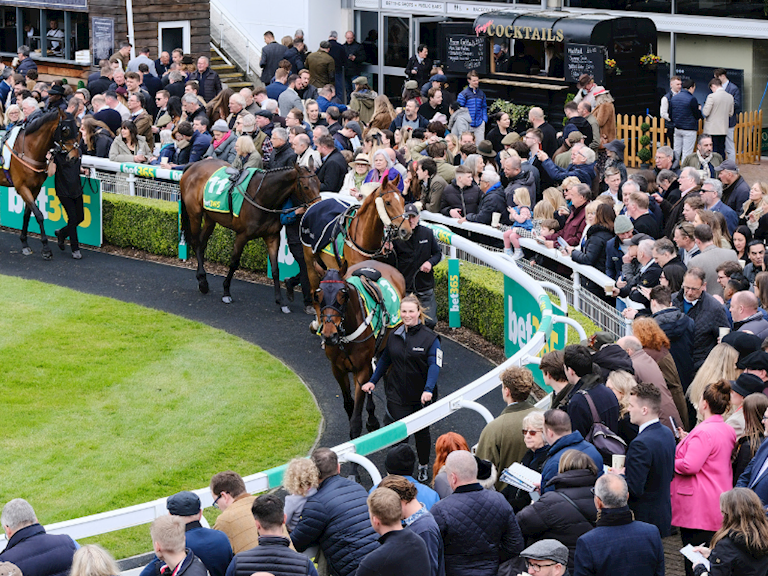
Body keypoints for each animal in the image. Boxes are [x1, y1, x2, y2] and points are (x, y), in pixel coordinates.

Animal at [0, 108, 80, 259]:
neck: (28, 150)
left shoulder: (35, 188)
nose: (74, 158)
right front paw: (46, 248)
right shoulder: (22, 187)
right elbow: (39, 215)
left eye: (78, 129)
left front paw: (24, 244)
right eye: (65, 130)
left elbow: (27, 214)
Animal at [179, 160, 320, 309]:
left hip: (211, 218)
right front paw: (226, 292)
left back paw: (203, 281)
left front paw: (280, 300)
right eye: (305, 186)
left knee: (202, 244)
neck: (262, 197)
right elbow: (234, 263)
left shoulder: (273, 236)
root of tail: (194, 165)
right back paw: (202, 281)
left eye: (319, 183)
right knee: (196, 243)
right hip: (194, 214)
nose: (317, 205)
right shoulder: (242, 235)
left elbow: (275, 269)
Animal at [303, 172, 412, 320]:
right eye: (388, 202)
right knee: (314, 292)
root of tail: (316, 203)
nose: (406, 231)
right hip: (310, 260)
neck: (363, 238)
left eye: (402, 201)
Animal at [313, 259, 406, 439]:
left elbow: (356, 417)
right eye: (318, 295)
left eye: (343, 294)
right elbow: (349, 403)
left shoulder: (361, 369)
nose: (329, 335)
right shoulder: (337, 369)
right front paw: (369, 420)